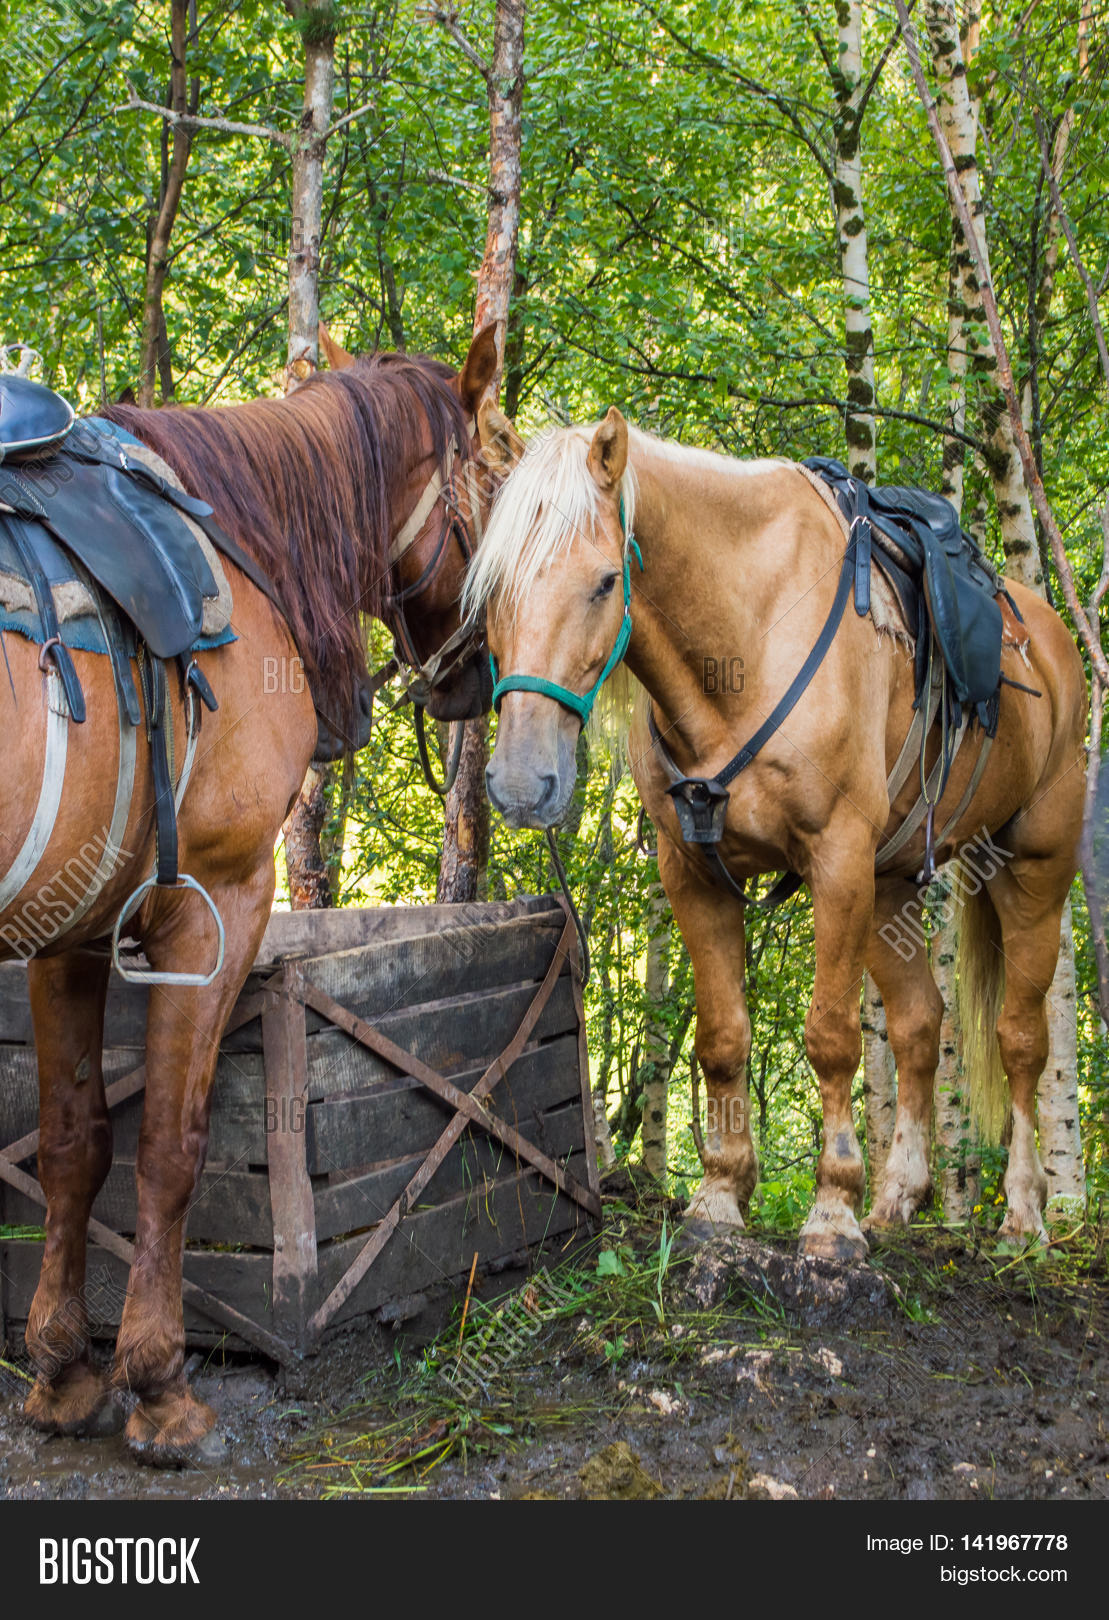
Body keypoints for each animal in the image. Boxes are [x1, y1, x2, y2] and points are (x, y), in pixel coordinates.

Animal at [0, 324, 499, 1465]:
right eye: (503, 477)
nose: (477, 674)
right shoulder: (215, 903)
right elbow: (170, 1149)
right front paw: (158, 1386)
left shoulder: (69, 931)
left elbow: (75, 1146)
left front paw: (63, 1372)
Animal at [466, 406, 1088, 1262]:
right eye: (491, 585)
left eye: (602, 582)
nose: (523, 783)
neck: (748, 635)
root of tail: (1049, 642)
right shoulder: (693, 872)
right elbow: (722, 1037)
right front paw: (722, 1196)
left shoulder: (835, 859)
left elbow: (830, 1037)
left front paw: (830, 1212)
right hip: (889, 887)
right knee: (919, 1025)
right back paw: (897, 1196)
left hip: (1029, 870)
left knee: (1020, 1039)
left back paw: (1023, 1213)